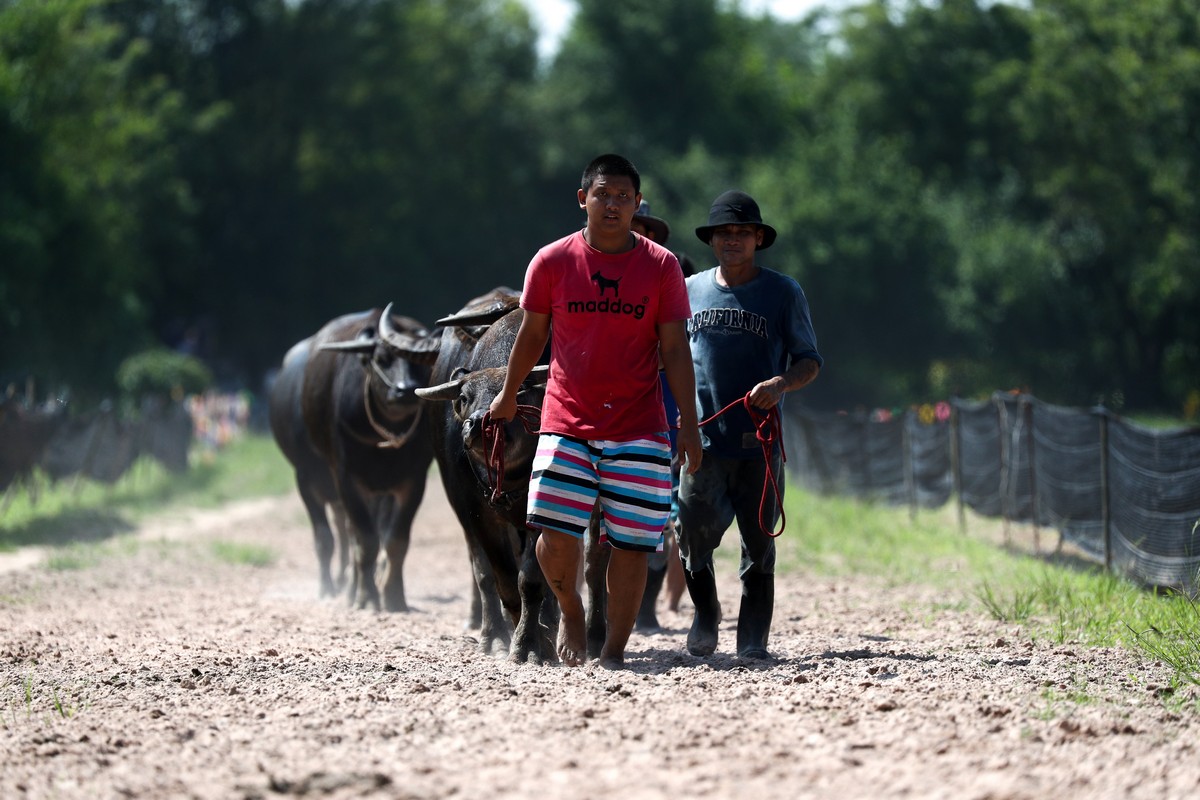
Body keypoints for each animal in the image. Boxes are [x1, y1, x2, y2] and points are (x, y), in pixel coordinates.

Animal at [270, 307, 439, 614]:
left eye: (419, 365)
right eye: (381, 359)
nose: (405, 389)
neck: (385, 440)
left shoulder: (413, 481)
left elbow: (395, 540)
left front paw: (394, 596)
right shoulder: (339, 479)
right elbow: (355, 539)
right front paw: (364, 597)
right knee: (343, 535)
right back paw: (342, 588)